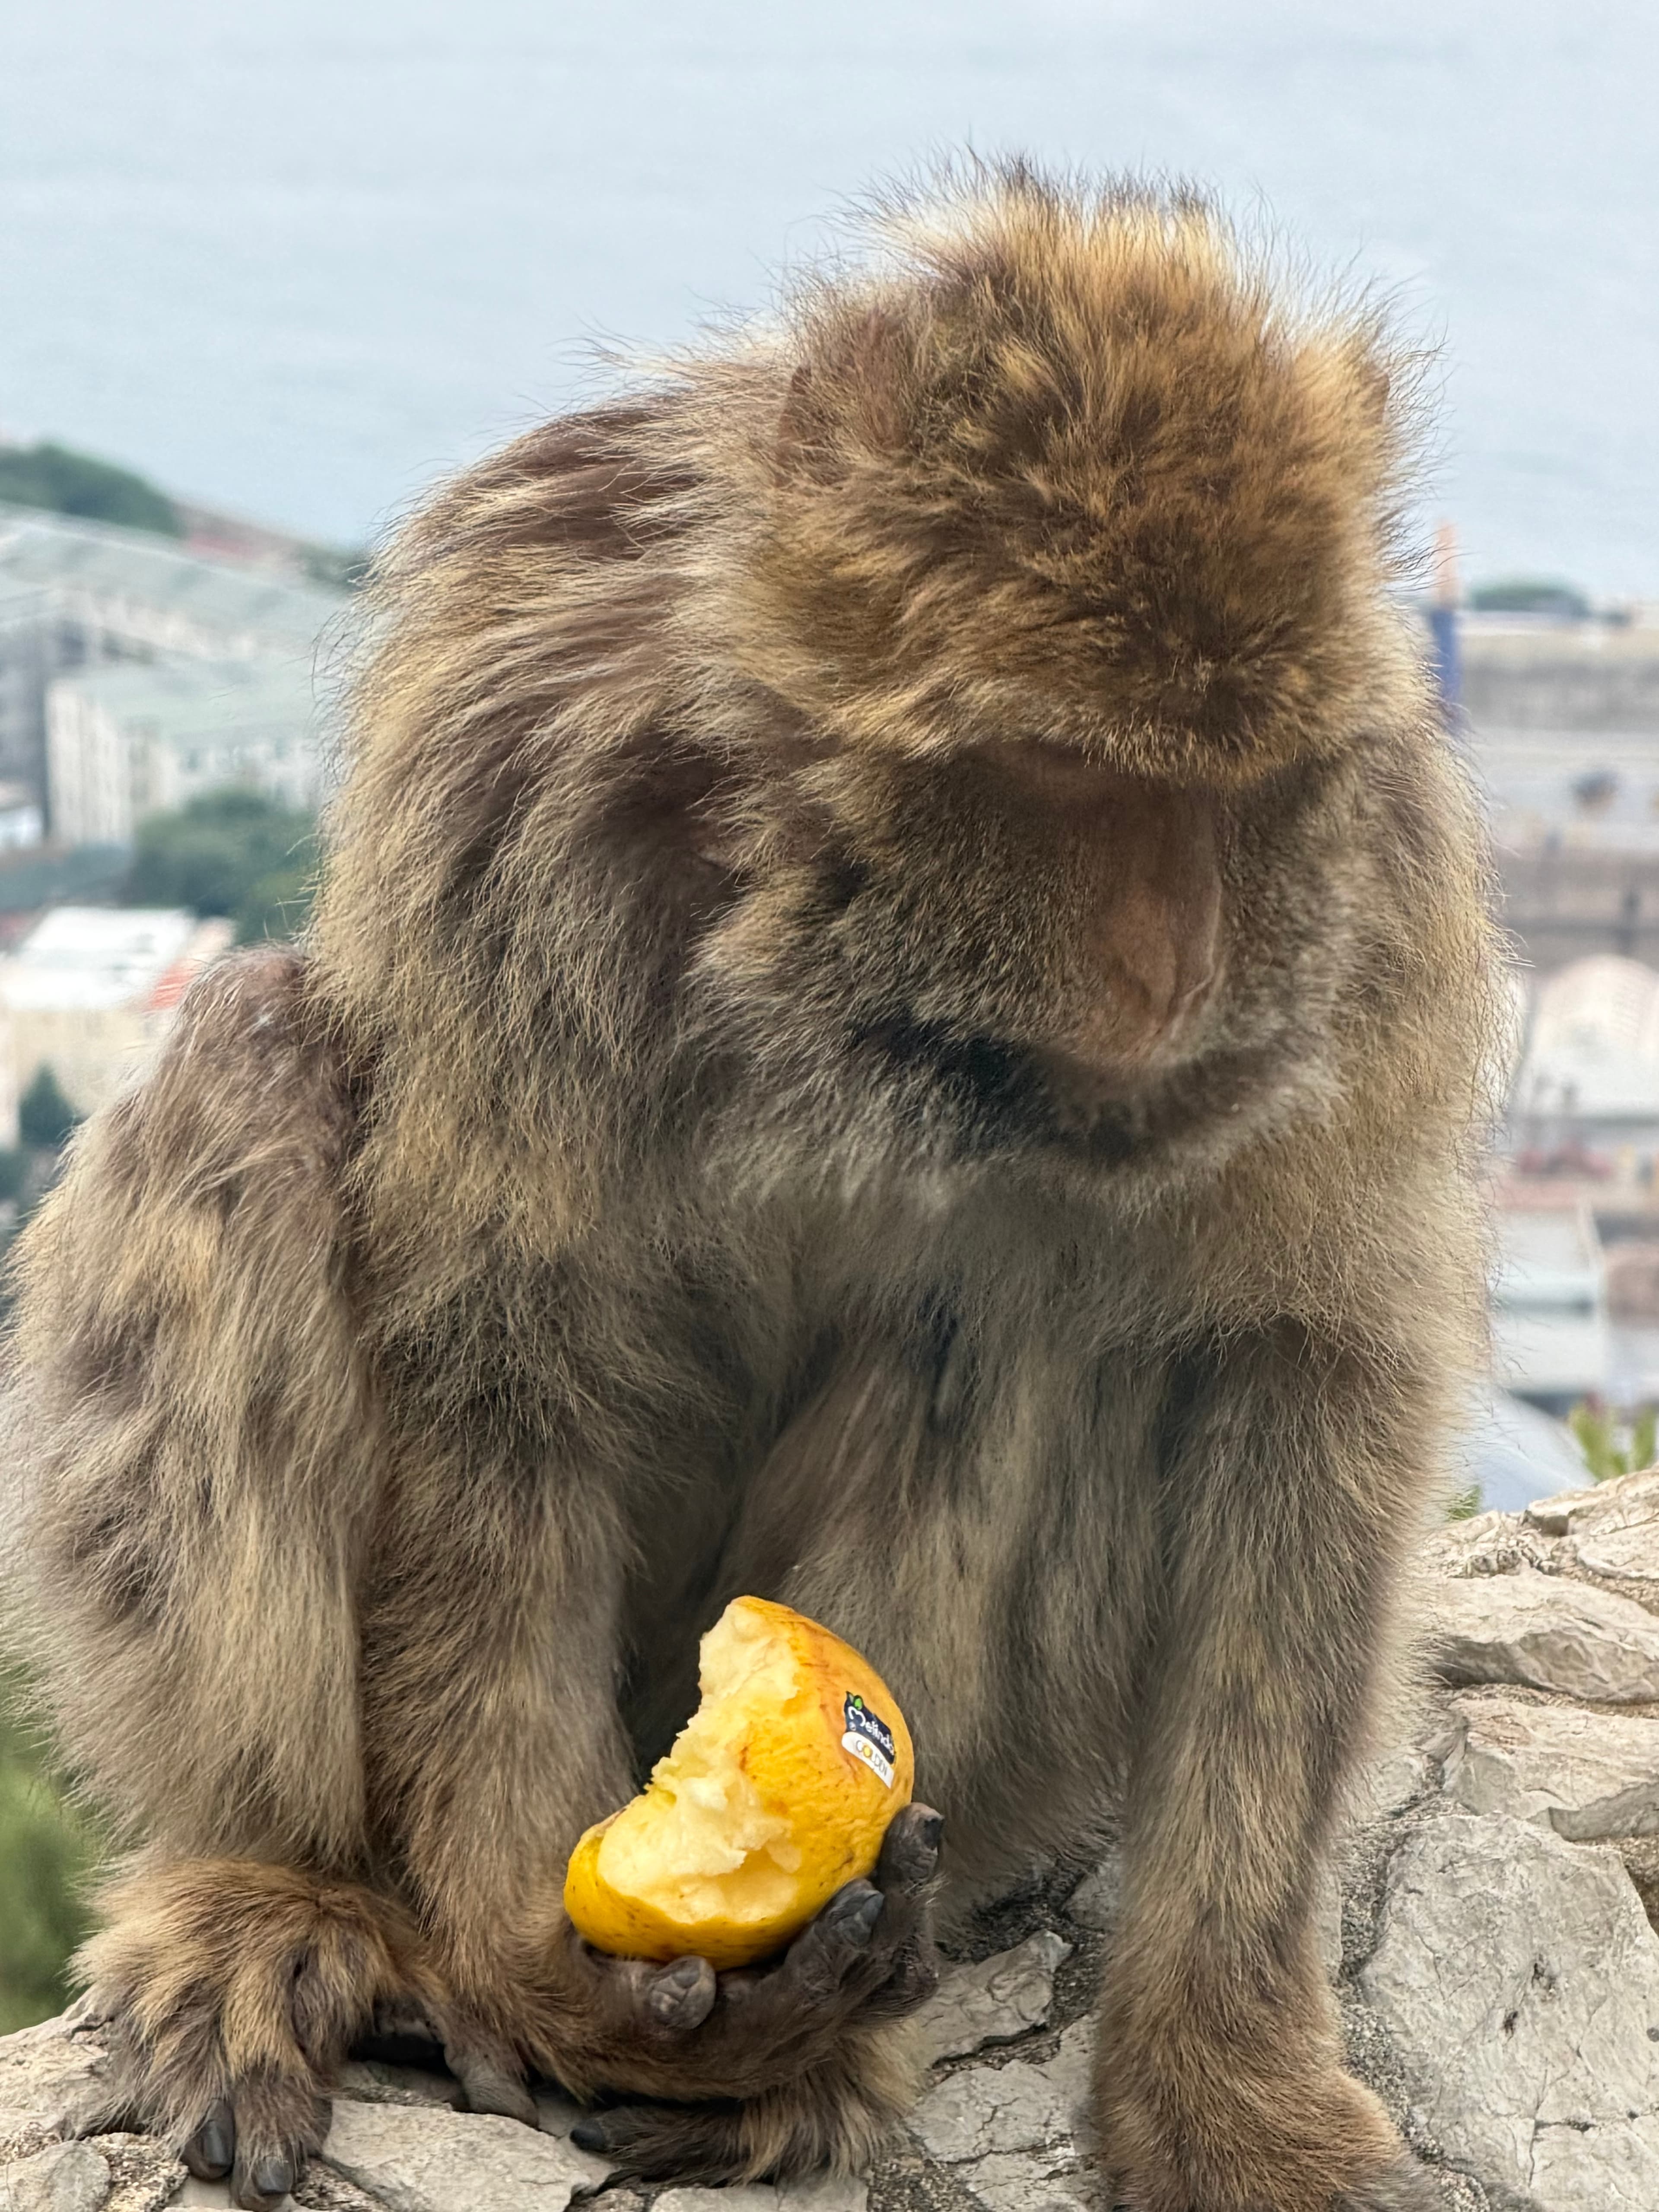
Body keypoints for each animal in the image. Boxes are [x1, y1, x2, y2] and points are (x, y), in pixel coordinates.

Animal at [2, 167, 1498, 2212]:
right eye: (1066, 774)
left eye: (1239, 788)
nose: (1176, 963)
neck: (841, 949)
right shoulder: (508, 783)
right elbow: (504, 1328)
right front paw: (527, 1958)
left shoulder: (1371, 890)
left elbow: (1308, 1369)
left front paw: (1224, 2053)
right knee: (244, 1050)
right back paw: (296, 1885)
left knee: (1000, 1293)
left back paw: (804, 2035)